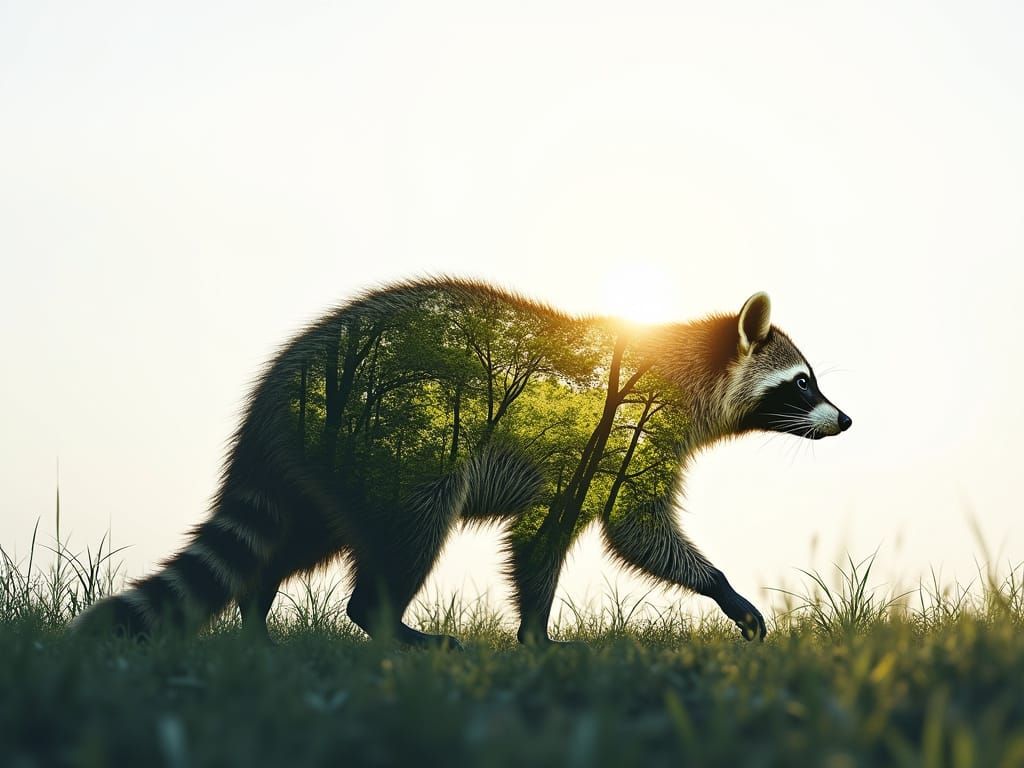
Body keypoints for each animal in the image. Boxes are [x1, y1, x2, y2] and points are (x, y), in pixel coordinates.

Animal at [73, 278, 850, 645]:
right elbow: (634, 531)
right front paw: (722, 588)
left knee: (293, 538)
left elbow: (544, 541)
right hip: (390, 444)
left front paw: (534, 632)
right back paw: (390, 626)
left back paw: (259, 617)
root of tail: (272, 398)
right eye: (801, 383)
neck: (685, 363)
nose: (845, 419)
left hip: (327, 467)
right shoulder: (623, 437)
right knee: (409, 531)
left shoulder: (585, 462)